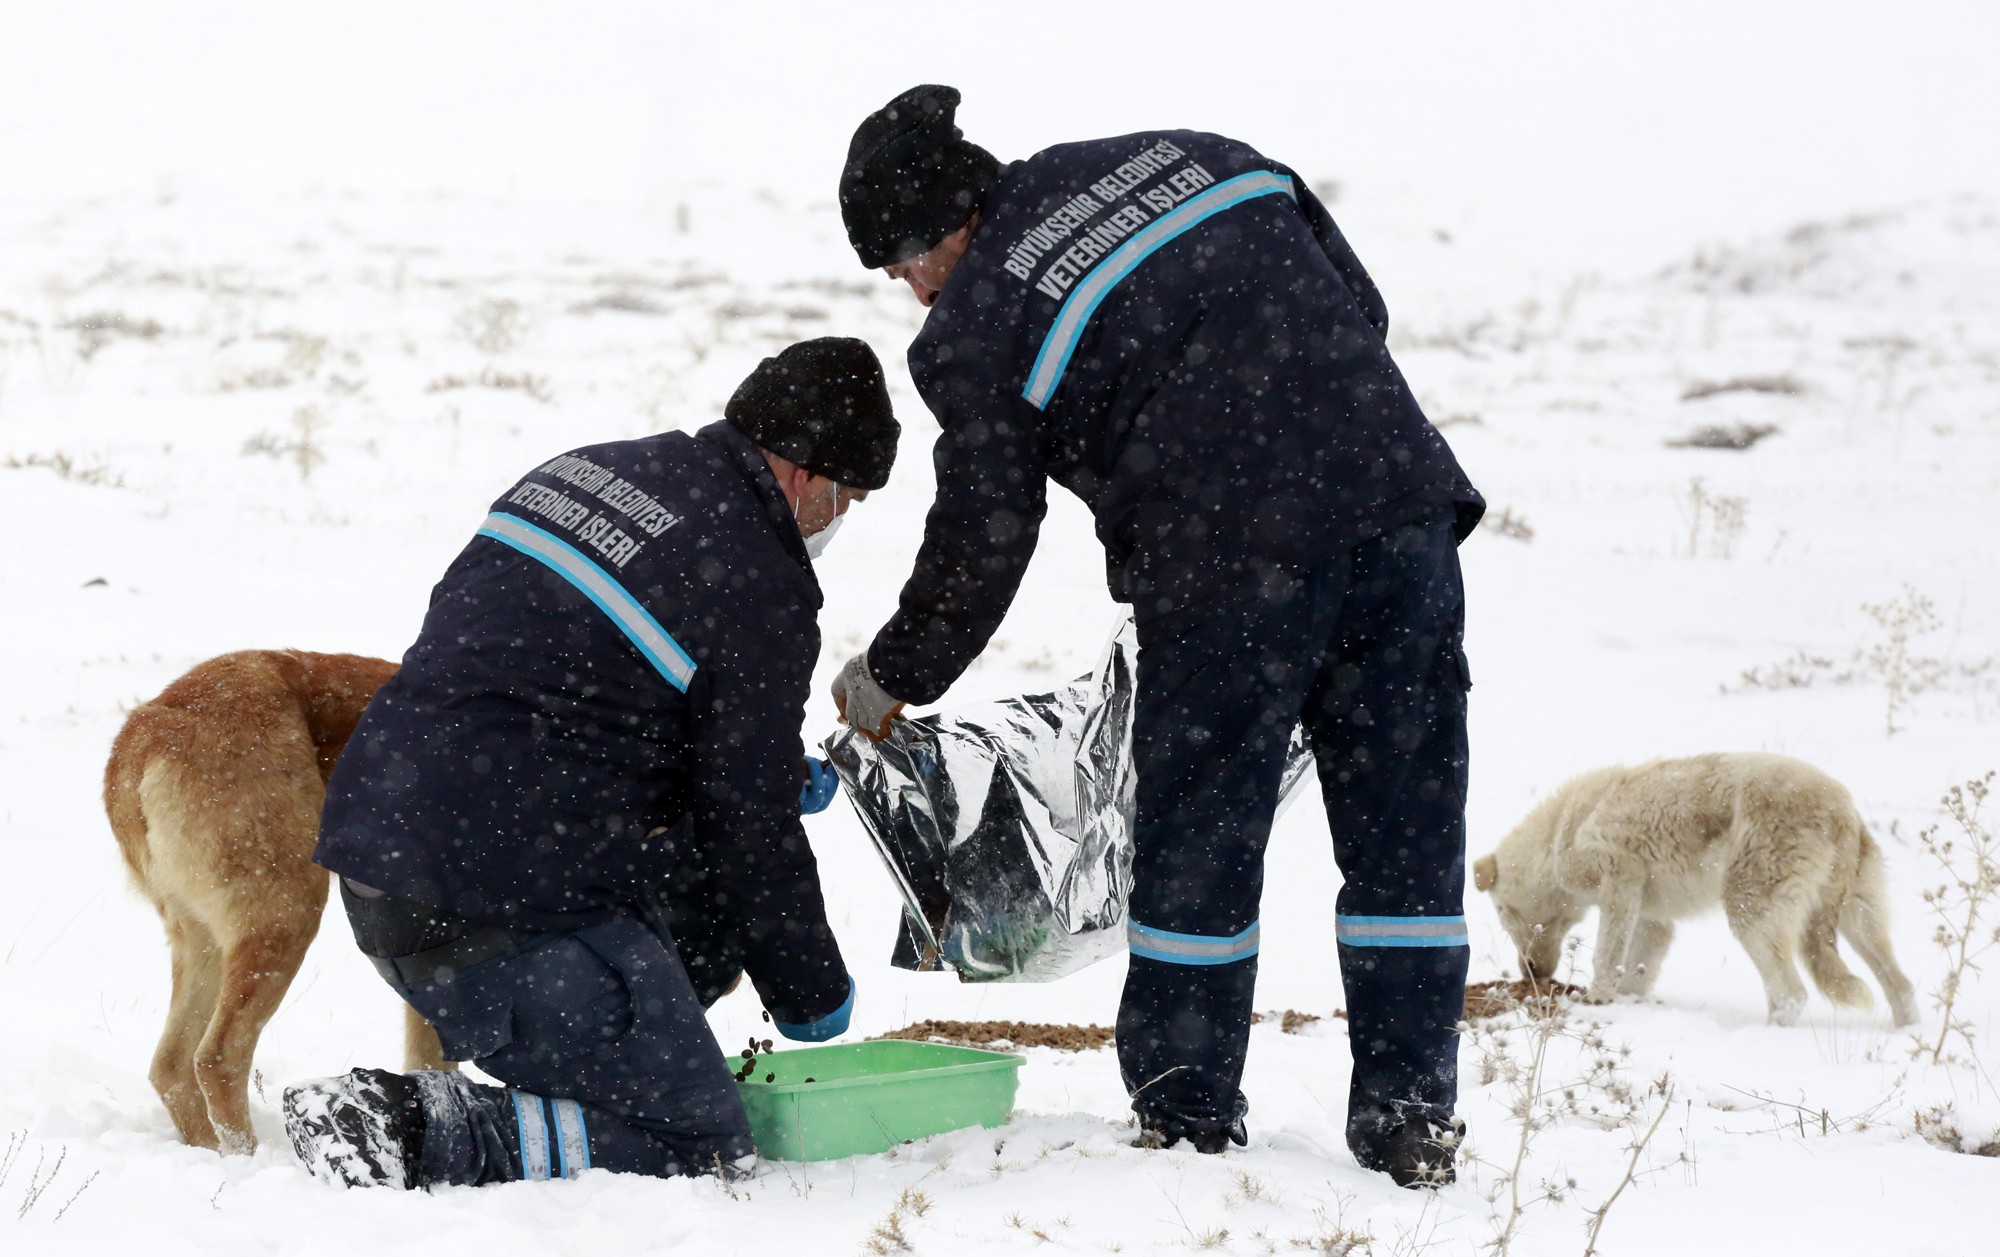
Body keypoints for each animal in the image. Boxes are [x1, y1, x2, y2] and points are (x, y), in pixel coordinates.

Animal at [1480, 752, 1912, 1024]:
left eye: (1503, 915)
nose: (1530, 973)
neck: (1559, 834)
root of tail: (1842, 809)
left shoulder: (1620, 882)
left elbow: (1606, 958)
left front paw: (1598, 1001)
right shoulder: (1653, 920)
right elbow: (1636, 971)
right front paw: (1629, 1004)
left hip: (1748, 912)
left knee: (1791, 996)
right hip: (1859, 921)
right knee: (1901, 988)